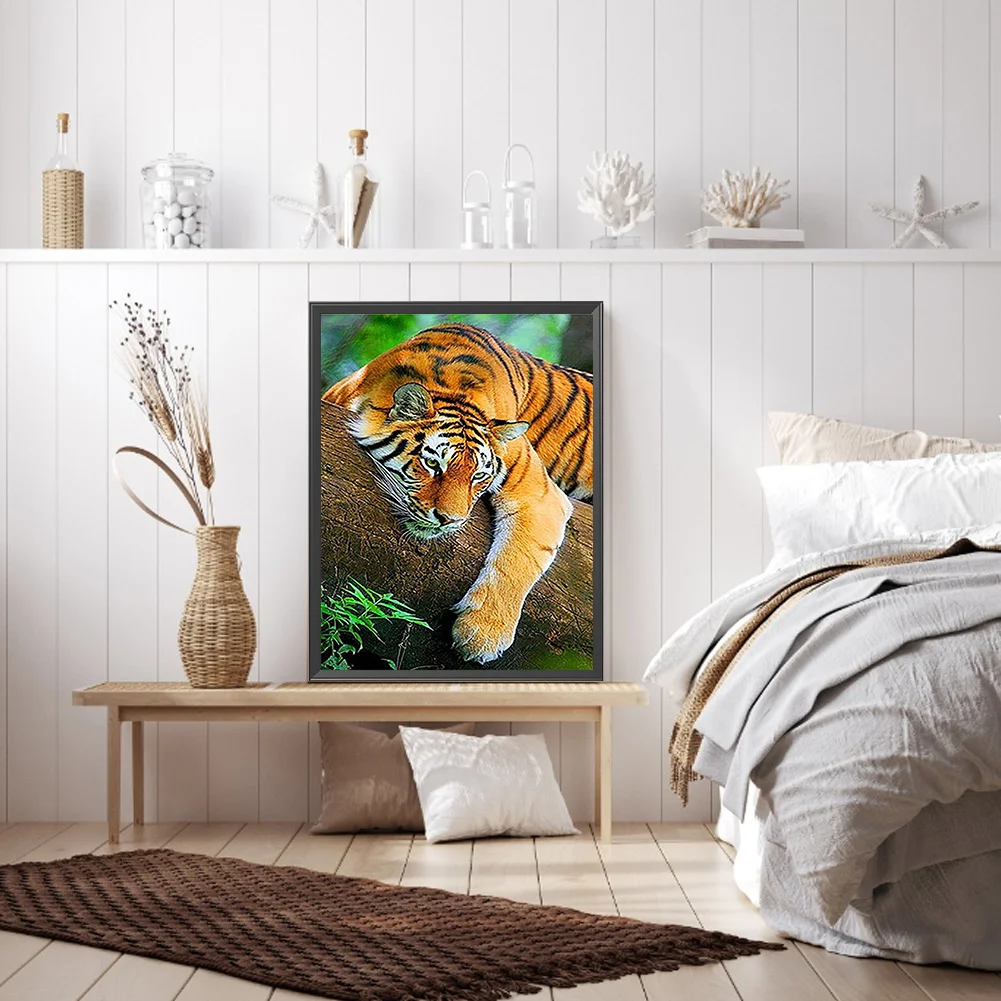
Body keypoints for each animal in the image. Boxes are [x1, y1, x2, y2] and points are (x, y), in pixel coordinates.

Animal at [323, 322, 593, 664]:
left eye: (478, 476)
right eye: (432, 464)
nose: (448, 520)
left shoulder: (540, 495)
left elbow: (517, 561)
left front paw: (483, 634)